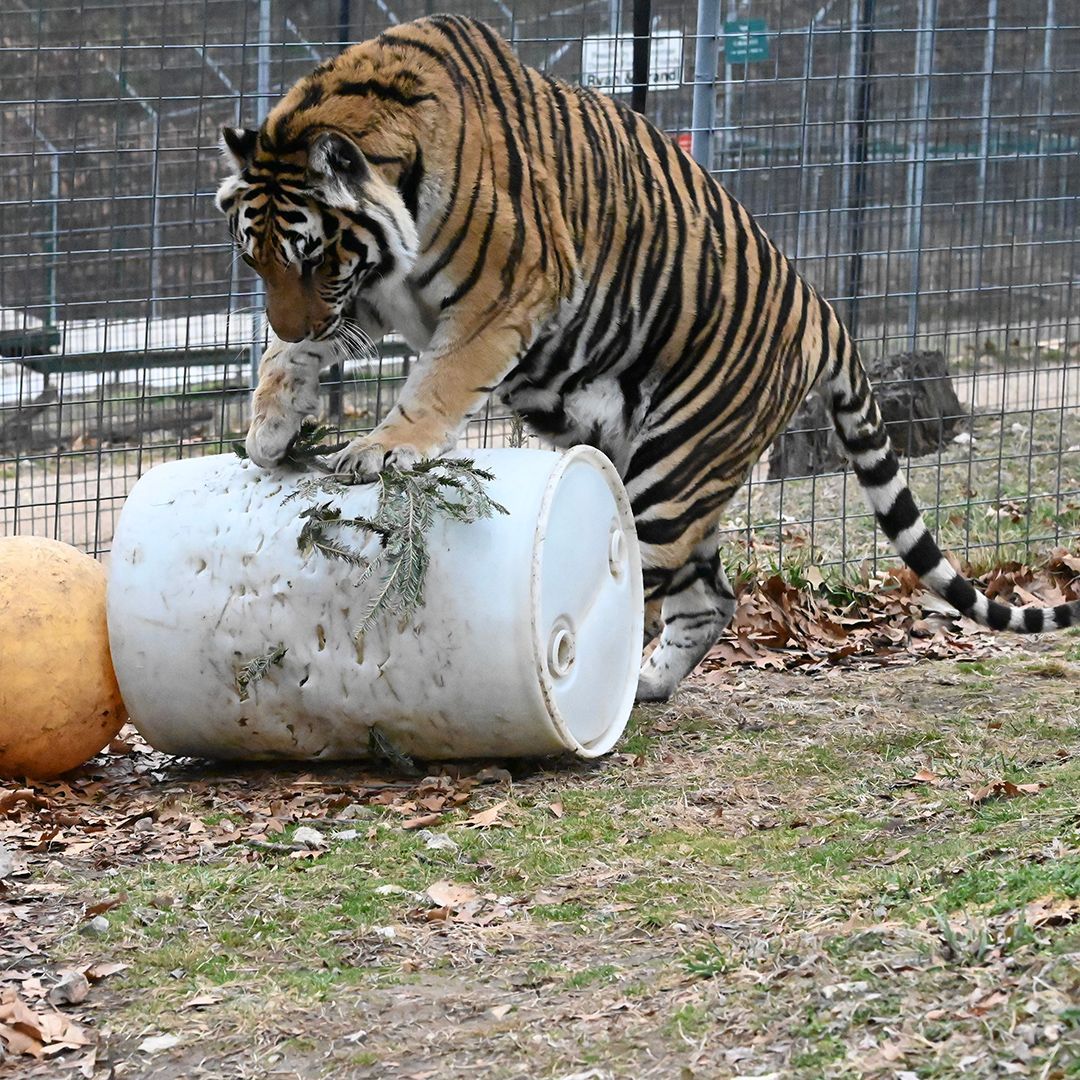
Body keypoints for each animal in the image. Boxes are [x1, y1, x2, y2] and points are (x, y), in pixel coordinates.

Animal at [215, 14, 1079, 703]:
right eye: (257, 261)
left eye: (314, 258)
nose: (289, 303)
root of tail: (823, 311)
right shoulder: (359, 299)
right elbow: (288, 354)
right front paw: (270, 428)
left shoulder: (502, 292)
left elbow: (435, 382)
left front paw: (382, 448)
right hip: (672, 478)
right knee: (714, 599)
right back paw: (648, 686)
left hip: (675, 469)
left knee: (645, 588)